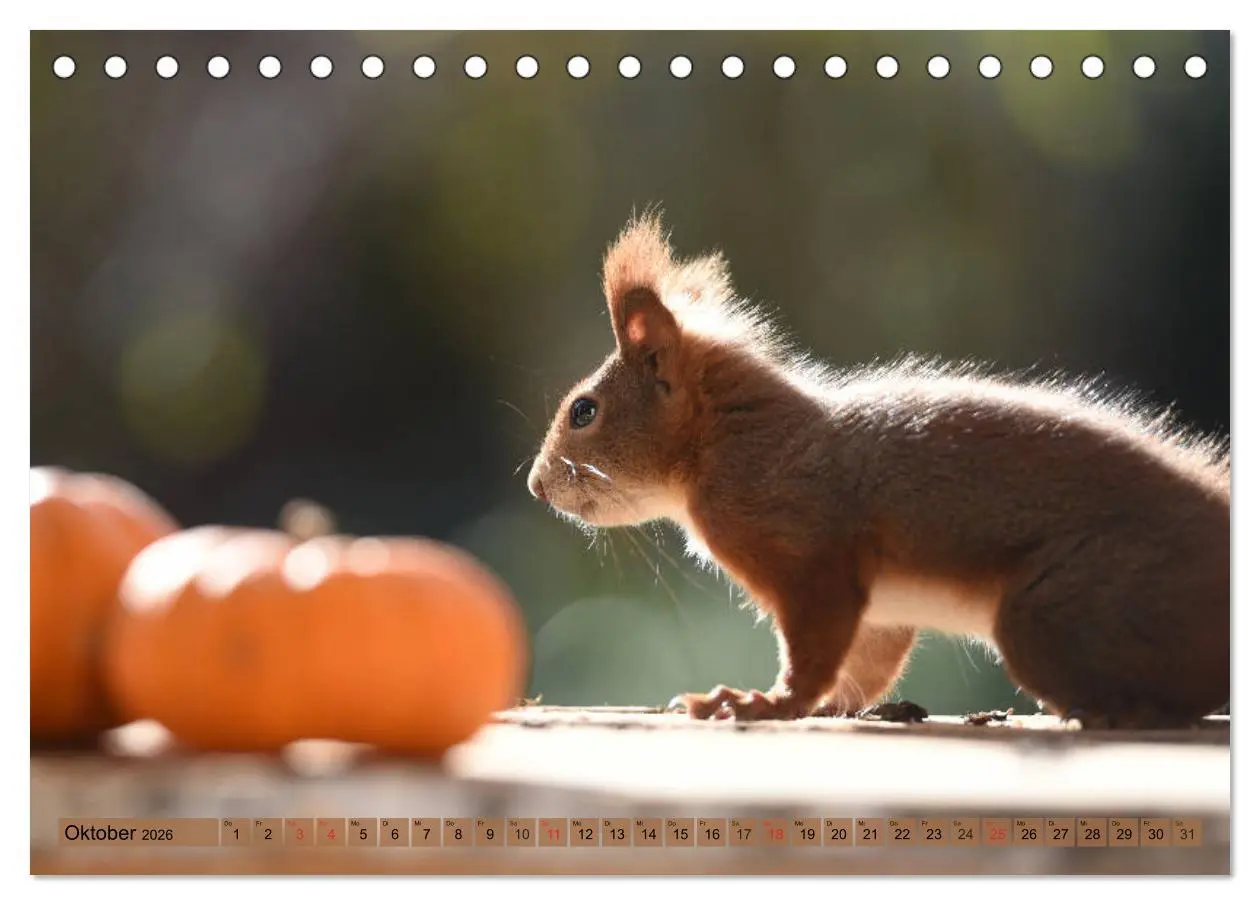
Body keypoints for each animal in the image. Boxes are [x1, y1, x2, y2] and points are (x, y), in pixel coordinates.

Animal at [526, 211, 1230, 729]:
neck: (733, 440)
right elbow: (867, 662)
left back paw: (1124, 710)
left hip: (1063, 612)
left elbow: (813, 649)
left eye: (584, 410)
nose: (536, 485)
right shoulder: (878, 610)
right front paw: (834, 706)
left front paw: (763, 703)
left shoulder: (811, 555)